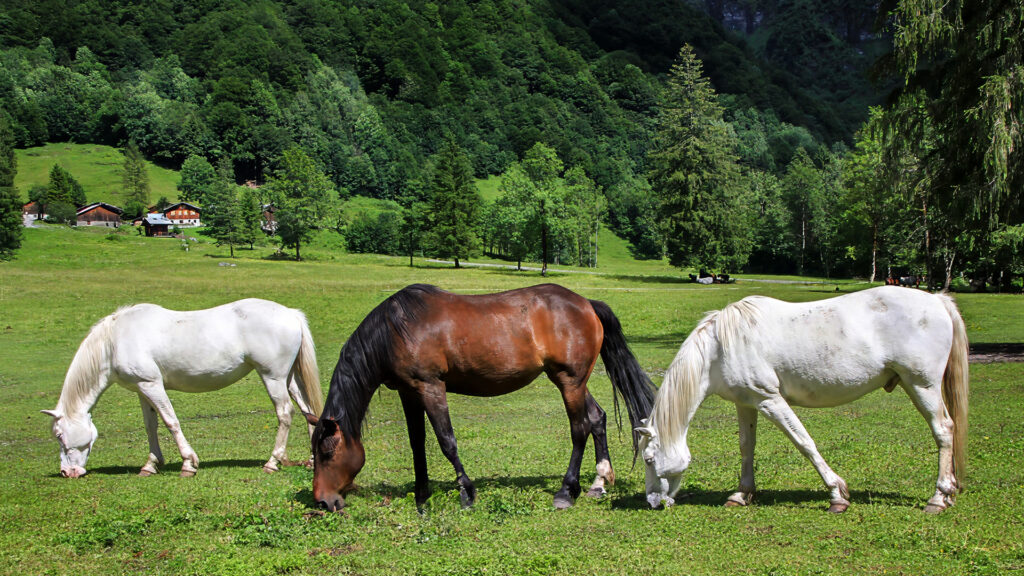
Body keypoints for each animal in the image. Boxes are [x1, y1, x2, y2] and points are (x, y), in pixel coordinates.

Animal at [42, 299, 323, 478]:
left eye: (59, 435)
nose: (67, 472)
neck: (115, 340)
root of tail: (290, 313)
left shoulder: (152, 385)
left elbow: (171, 421)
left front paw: (188, 464)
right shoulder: (142, 390)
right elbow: (151, 426)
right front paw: (151, 465)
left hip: (273, 377)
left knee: (285, 413)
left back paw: (272, 462)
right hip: (288, 378)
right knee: (307, 410)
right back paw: (312, 459)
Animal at [303, 283, 656, 512]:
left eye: (327, 452)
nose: (322, 501)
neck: (395, 330)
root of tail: (586, 303)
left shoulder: (431, 386)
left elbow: (446, 441)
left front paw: (467, 493)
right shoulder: (409, 391)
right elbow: (417, 443)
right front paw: (421, 496)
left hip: (569, 382)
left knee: (579, 428)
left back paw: (566, 492)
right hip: (573, 382)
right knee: (597, 418)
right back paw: (599, 482)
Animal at [637, 286, 968, 514]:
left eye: (649, 459)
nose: (652, 501)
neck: (720, 347)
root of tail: (937, 300)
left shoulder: (770, 401)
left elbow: (804, 442)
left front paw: (837, 495)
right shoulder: (746, 403)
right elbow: (746, 447)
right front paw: (742, 494)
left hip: (922, 386)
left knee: (943, 430)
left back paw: (938, 497)